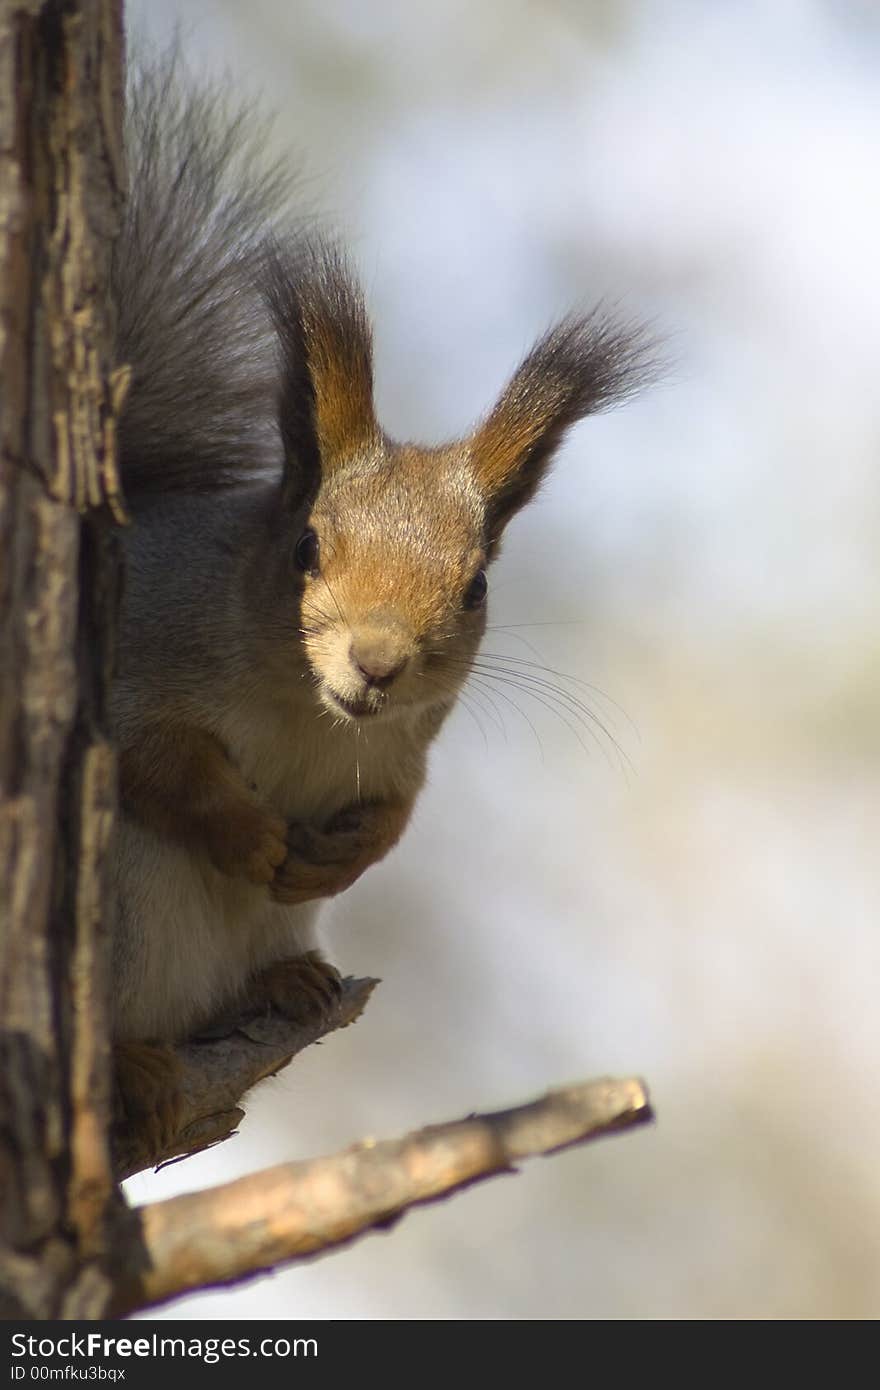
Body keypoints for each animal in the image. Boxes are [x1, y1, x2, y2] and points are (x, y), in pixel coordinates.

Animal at [108, 56, 653, 1139]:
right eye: (306, 546)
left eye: (476, 586)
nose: (378, 661)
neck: (307, 714)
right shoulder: (138, 652)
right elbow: (159, 761)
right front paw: (252, 832)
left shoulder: (407, 744)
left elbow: (399, 813)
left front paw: (342, 856)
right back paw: (134, 1066)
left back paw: (286, 984)